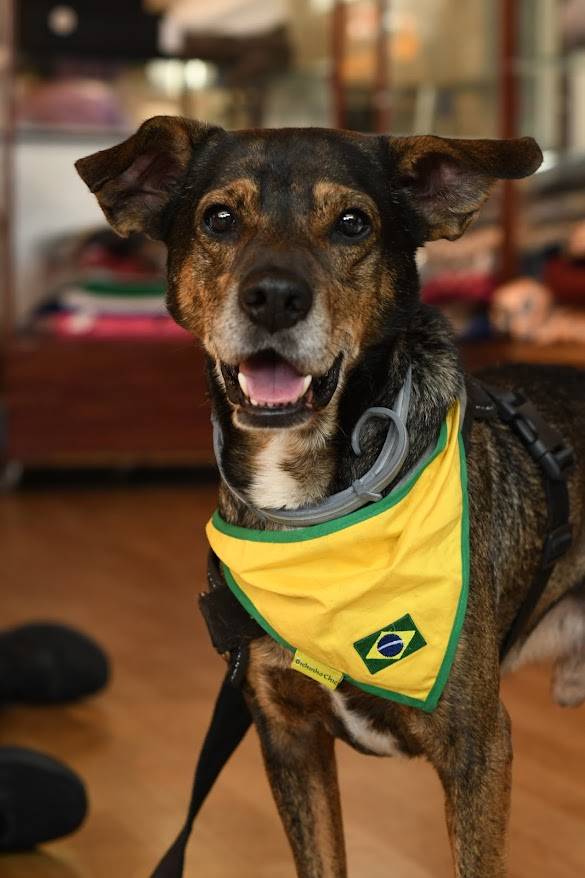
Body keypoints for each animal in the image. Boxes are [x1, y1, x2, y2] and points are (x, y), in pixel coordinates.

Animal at [76, 117, 585, 877]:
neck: (316, 511)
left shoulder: (477, 749)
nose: (274, 298)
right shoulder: (286, 735)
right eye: (218, 219)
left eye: (352, 223)